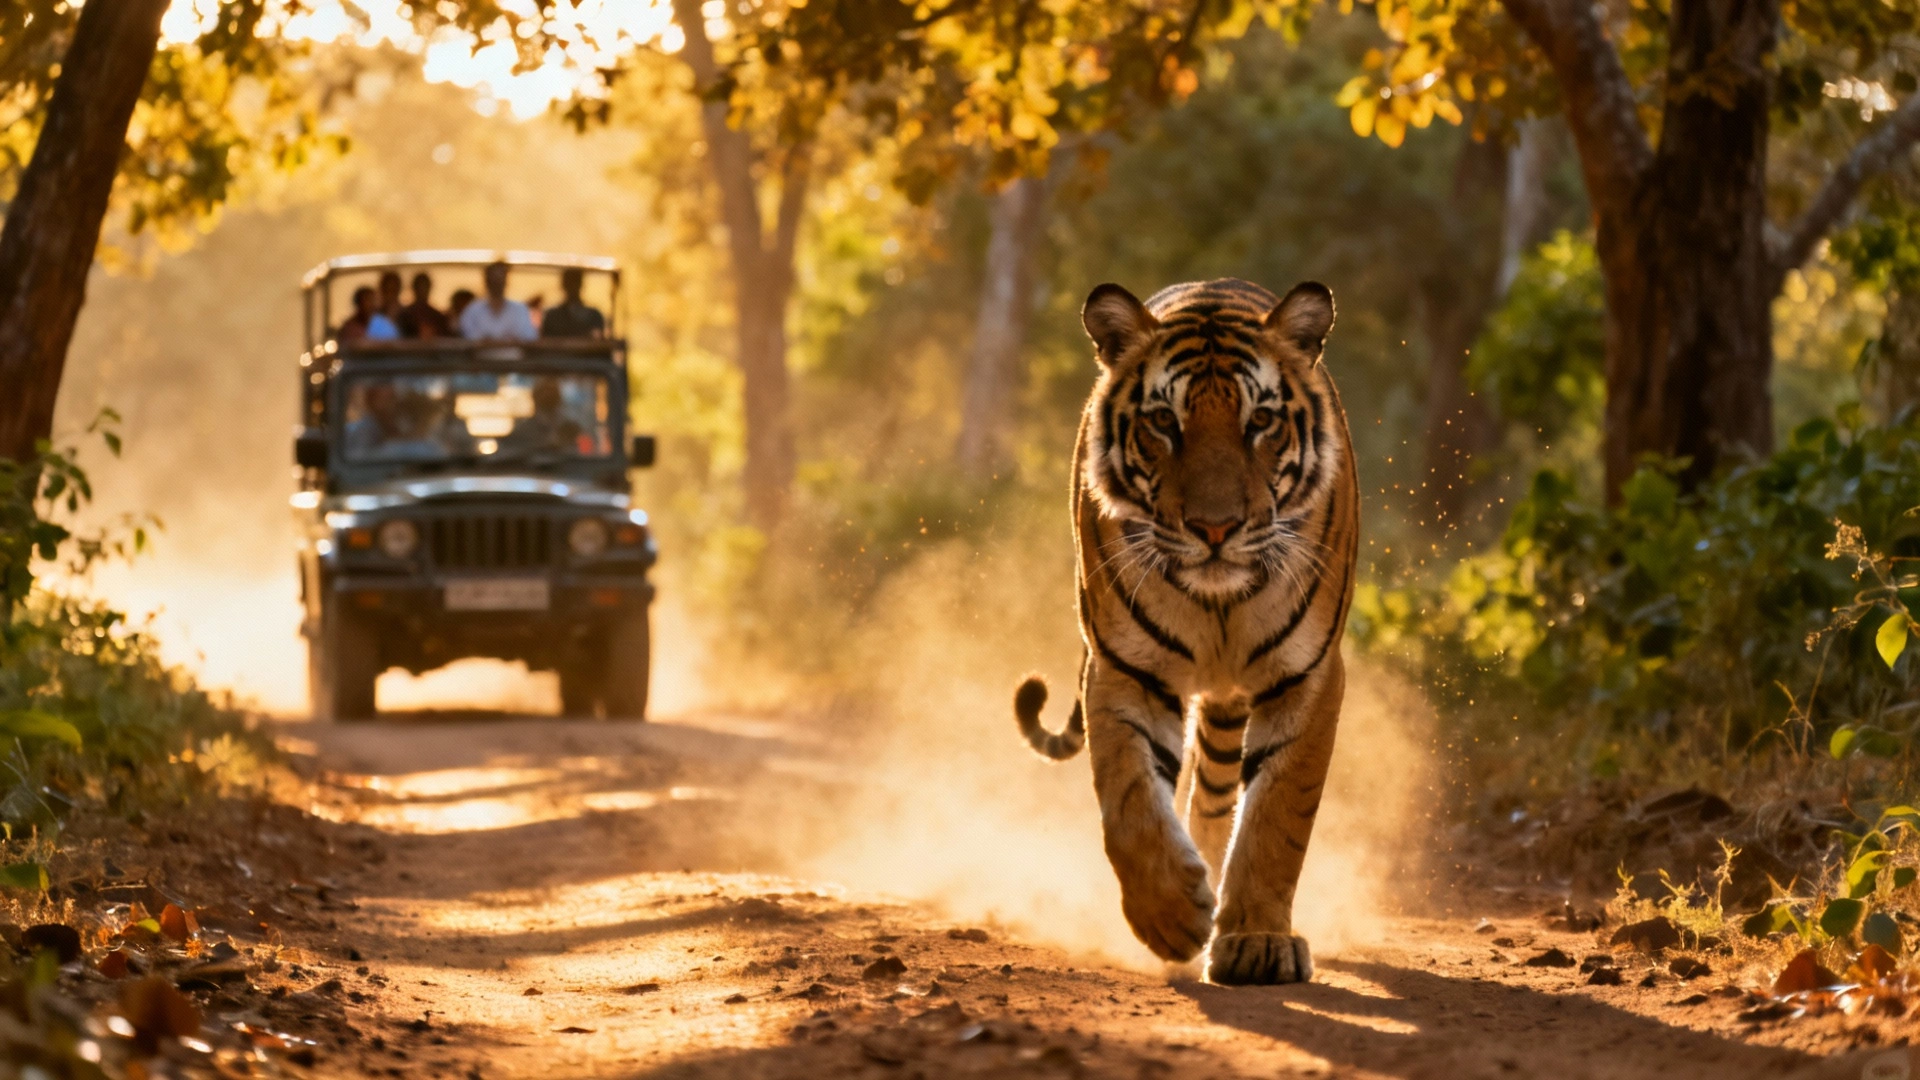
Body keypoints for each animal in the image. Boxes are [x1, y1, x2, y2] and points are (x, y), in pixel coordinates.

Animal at [1014, 277, 1357, 985]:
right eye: (1164, 422)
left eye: (1261, 421)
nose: (1215, 527)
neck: (1218, 605)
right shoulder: (1124, 668)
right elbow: (1129, 802)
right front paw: (1171, 916)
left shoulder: (1309, 676)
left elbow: (1279, 816)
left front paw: (1256, 941)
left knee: (1218, 801)